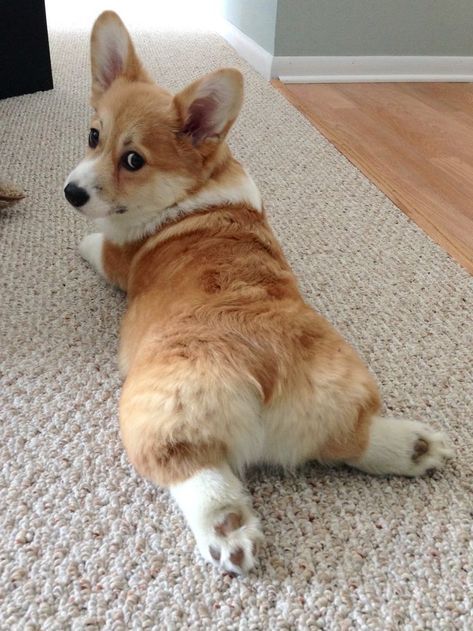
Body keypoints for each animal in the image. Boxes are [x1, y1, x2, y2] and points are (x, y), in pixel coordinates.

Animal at [63, 12, 454, 576]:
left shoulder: (119, 255)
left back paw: (226, 530)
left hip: (158, 414)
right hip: (336, 402)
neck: (194, 191)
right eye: (94, 135)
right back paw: (413, 447)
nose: (71, 193)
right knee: (350, 441)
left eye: (132, 160)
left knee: (193, 472)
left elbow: (99, 244)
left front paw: (82, 238)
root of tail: (270, 367)